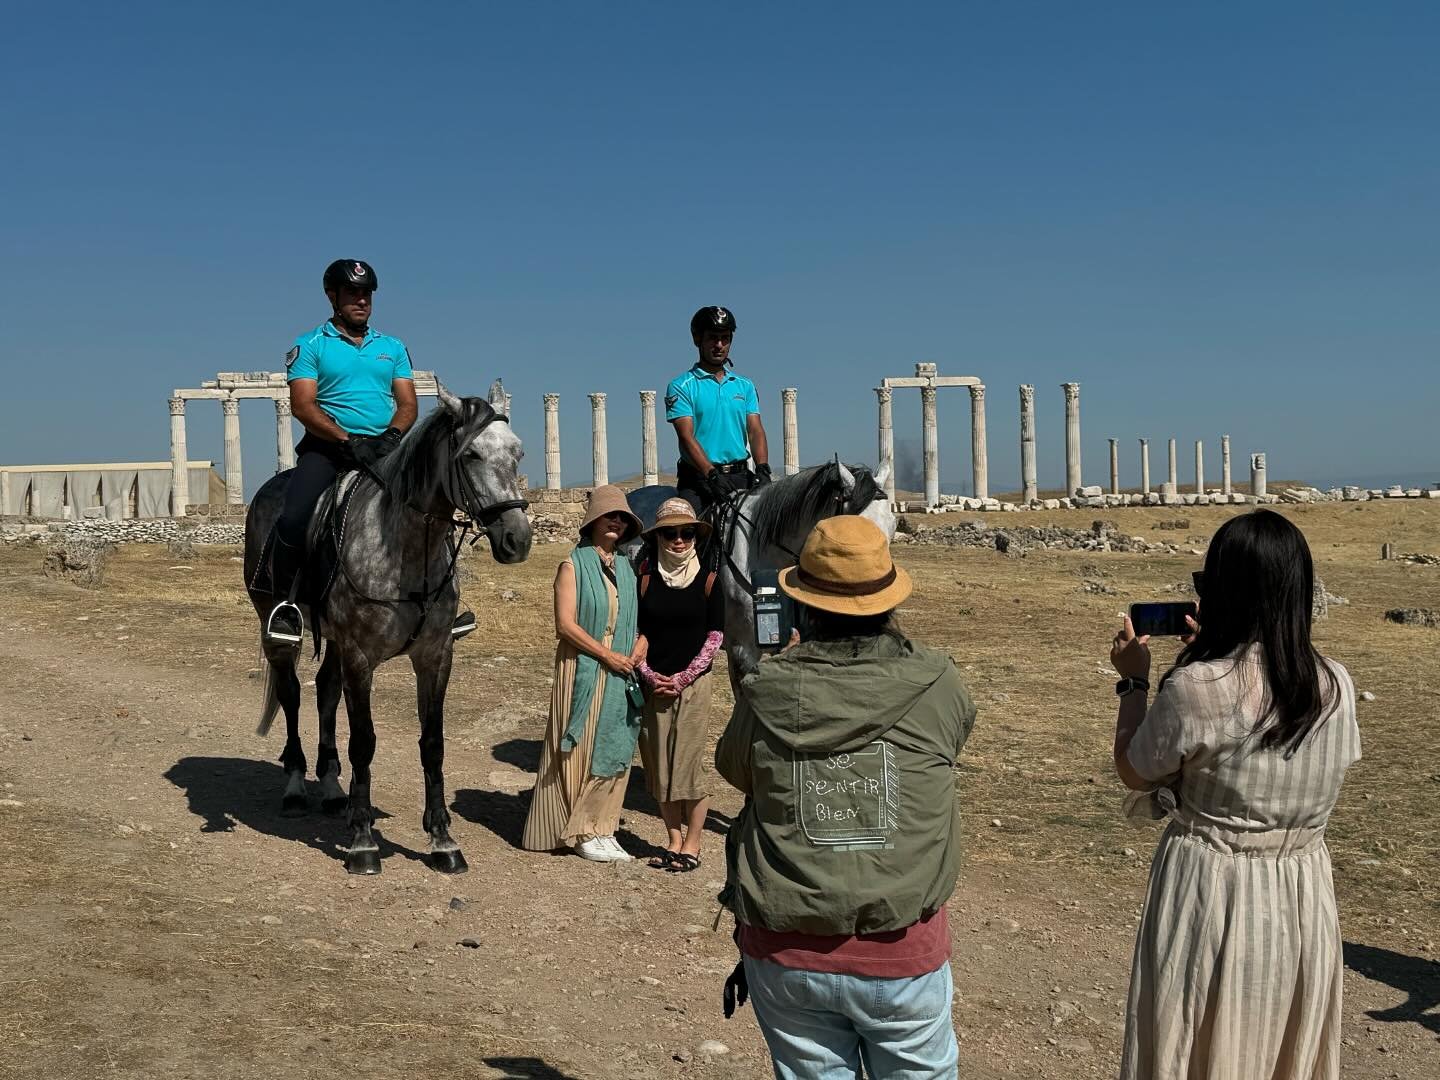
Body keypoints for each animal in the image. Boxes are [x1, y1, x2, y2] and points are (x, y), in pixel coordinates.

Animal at [244, 385, 532, 875]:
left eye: (518, 453)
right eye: (470, 454)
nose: (518, 539)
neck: (407, 552)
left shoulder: (434, 656)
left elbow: (432, 743)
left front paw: (443, 840)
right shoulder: (362, 657)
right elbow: (364, 742)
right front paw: (363, 842)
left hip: (335, 642)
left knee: (325, 692)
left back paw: (333, 790)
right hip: (278, 630)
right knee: (292, 694)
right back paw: (297, 787)